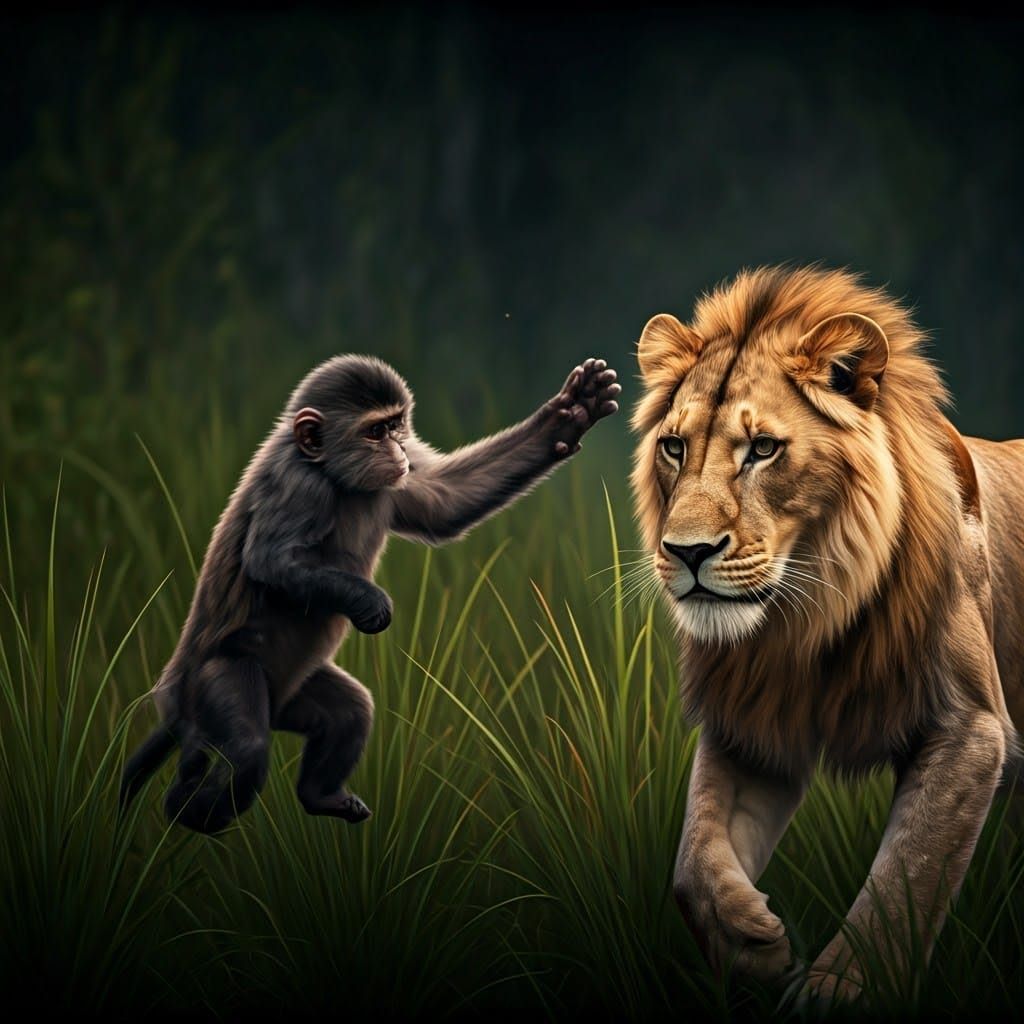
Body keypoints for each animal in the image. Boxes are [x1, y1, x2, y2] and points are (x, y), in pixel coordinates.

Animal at [120, 354, 621, 833]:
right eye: (376, 431)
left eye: (397, 426)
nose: (397, 447)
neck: (332, 473)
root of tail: (173, 699)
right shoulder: (298, 485)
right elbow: (271, 559)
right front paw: (369, 602)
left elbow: (445, 499)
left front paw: (568, 415)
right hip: (211, 684)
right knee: (244, 746)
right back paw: (185, 803)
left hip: (292, 696)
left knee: (349, 712)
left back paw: (321, 795)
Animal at [629, 265, 1022, 1003]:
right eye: (675, 446)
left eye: (762, 449)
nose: (687, 552)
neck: (803, 623)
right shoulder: (753, 726)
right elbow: (693, 856)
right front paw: (751, 940)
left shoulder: (969, 730)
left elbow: (903, 879)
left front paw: (835, 991)